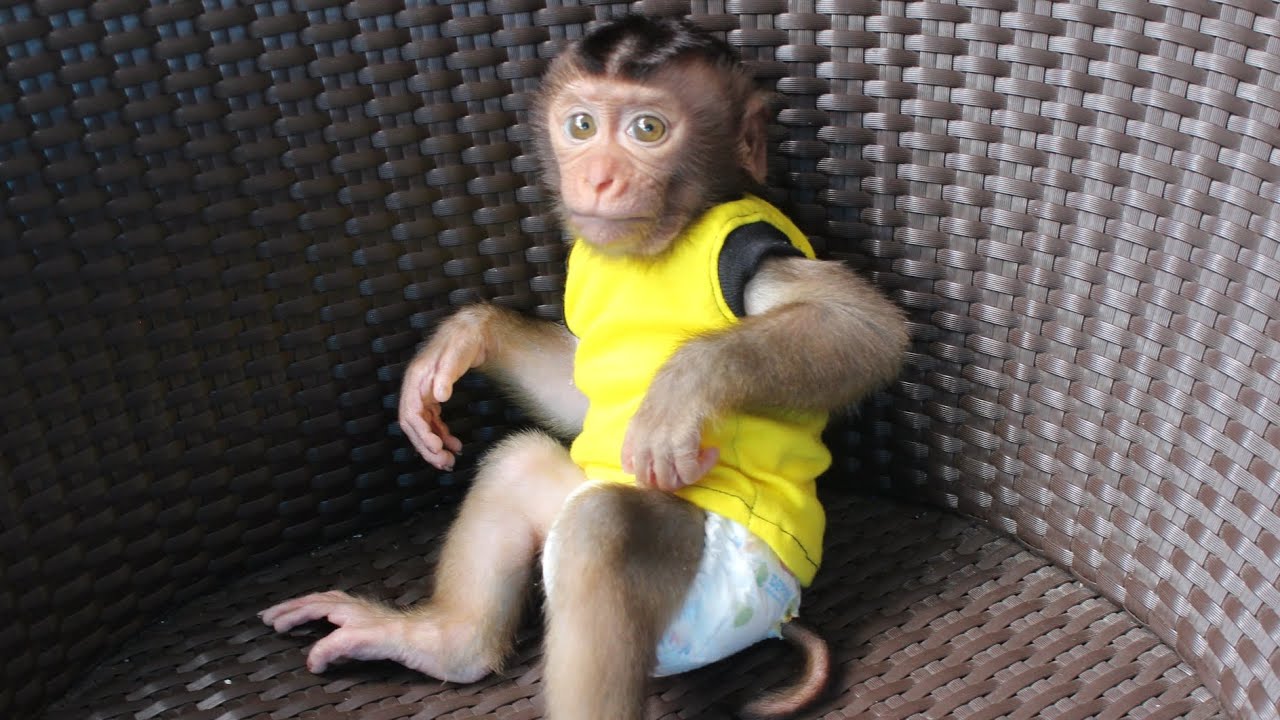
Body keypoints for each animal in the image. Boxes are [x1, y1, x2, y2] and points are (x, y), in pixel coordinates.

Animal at [261, 15, 908, 720]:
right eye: (581, 126)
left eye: (647, 129)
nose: (597, 177)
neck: (657, 247)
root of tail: (779, 618)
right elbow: (577, 394)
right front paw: (464, 339)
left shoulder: (742, 244)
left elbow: (864, 327)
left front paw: (681, 390)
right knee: (519, 467)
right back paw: (447, 643)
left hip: (733, 591)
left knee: (605, 534)